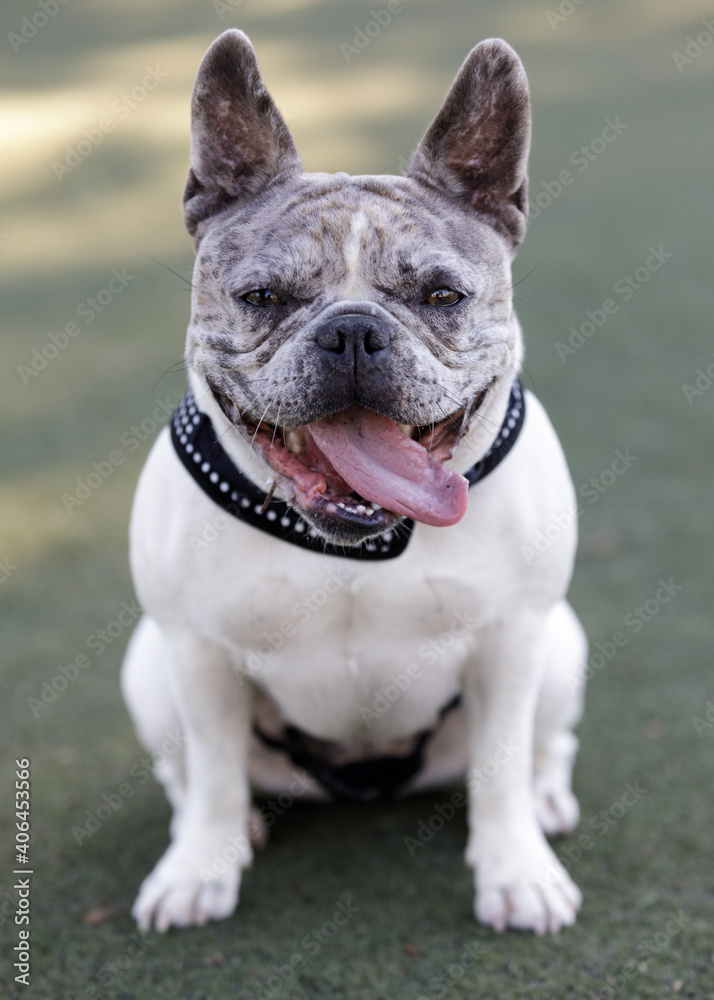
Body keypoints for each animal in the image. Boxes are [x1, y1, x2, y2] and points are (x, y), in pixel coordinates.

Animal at [121, 31, 584, 936]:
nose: (353, 331)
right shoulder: (196, 653)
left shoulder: (513, 639)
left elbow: (502, 764)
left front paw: (516, 870)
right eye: (263, 296)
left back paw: (547, 802)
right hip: (148, 670)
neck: (360, 541)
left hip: (561, 647)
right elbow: (215, 769)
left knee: (545, 748)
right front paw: (199, 866)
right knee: (189, 775)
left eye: (442, 294)